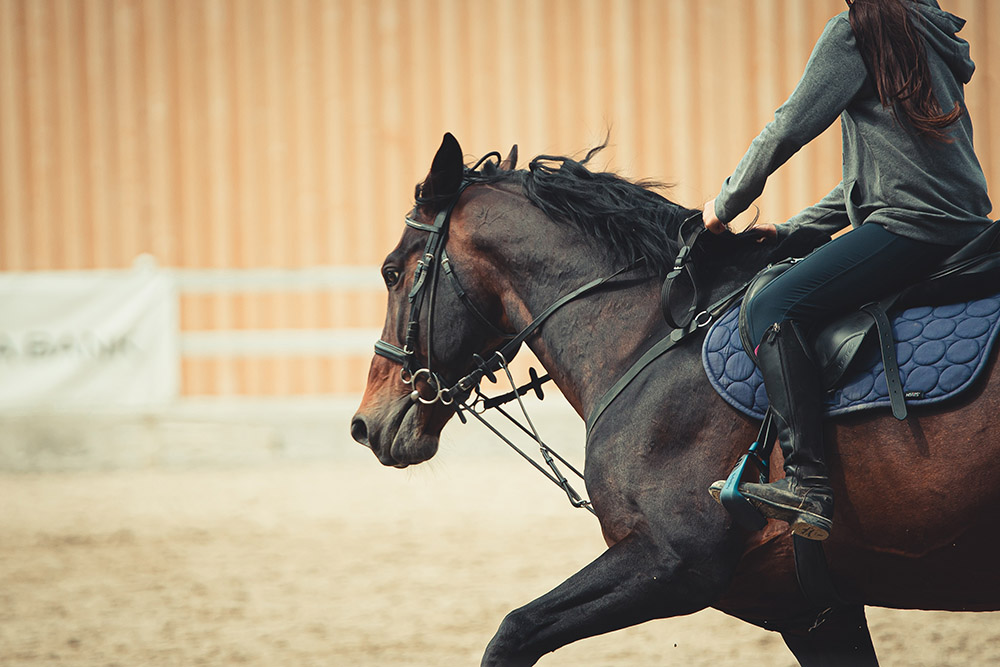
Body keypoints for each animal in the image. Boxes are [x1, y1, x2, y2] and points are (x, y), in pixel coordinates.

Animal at [348, 133, 996, 664]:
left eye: (391, 272)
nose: (364, 425)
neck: (650, 336)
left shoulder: (673, 563)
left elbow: (512, 632)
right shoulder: (812, 611)